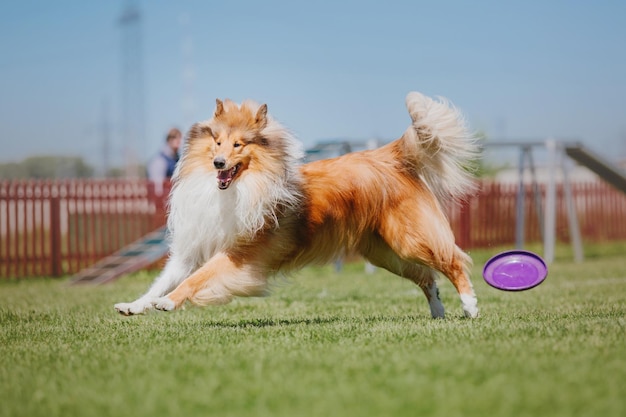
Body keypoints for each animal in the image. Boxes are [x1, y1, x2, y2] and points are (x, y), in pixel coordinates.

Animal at [116, 91, 478, 316]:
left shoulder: (237, 253)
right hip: (385, 251)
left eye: (238, 145)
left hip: (410, 239)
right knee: (426, 277)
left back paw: (470, 306)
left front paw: (168, 303)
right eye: (217, 142)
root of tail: (389, 155)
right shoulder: (192, 250)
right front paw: (135, 305)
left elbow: (195, 280)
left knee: (454, 261)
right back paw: (438, 311)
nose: (218, 163)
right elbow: (163, 280)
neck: (236, 189)